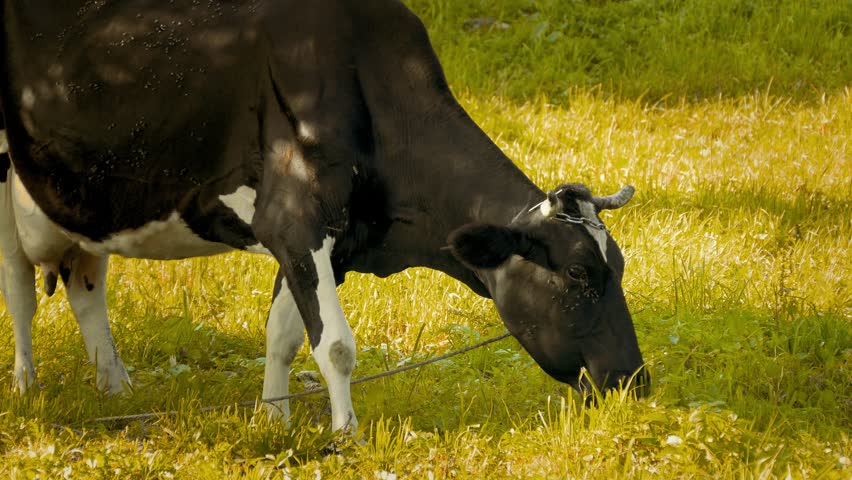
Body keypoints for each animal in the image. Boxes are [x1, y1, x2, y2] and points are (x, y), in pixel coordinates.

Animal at [3, 0, 648, 434]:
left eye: (617, 267)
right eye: (578, 274)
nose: (635, 382)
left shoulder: (332, 242)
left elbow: (285, 335)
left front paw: (273, 420)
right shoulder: (295, 220)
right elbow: (335, 343)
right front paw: (345, 435)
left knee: (85, 286)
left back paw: (114, 386)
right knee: (20, 293)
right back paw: (27, 389)